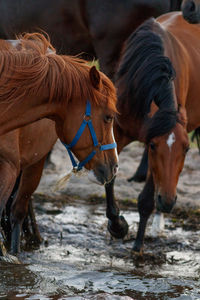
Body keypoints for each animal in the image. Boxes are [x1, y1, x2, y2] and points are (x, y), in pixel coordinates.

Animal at [104, 11, 200, 254]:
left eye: (187, 149)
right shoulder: (118, 132)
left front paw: (138, 243)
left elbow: (148, 196)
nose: (168, 201)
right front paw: (118, 226)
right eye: (154, 145)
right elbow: (109, 175)